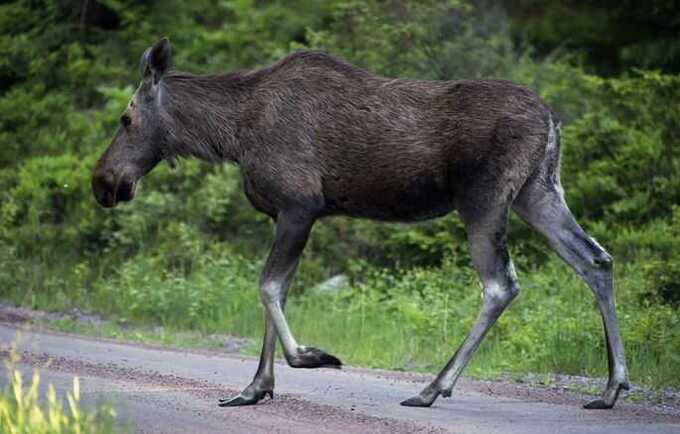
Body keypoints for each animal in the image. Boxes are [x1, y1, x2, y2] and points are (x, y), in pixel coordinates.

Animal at [93, 38, 628, 410]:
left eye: (125, 118)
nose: (103, 182)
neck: (232, 135)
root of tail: (553, 121)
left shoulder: (300, 204)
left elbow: (267, 287)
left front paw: (311, 357)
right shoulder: (289, 214)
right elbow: (276, 291)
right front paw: (254, 388)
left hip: (484, 200)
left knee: (501, 284)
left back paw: (433, 387)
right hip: (537, 191)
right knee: (595, 259)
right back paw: (612, 386)